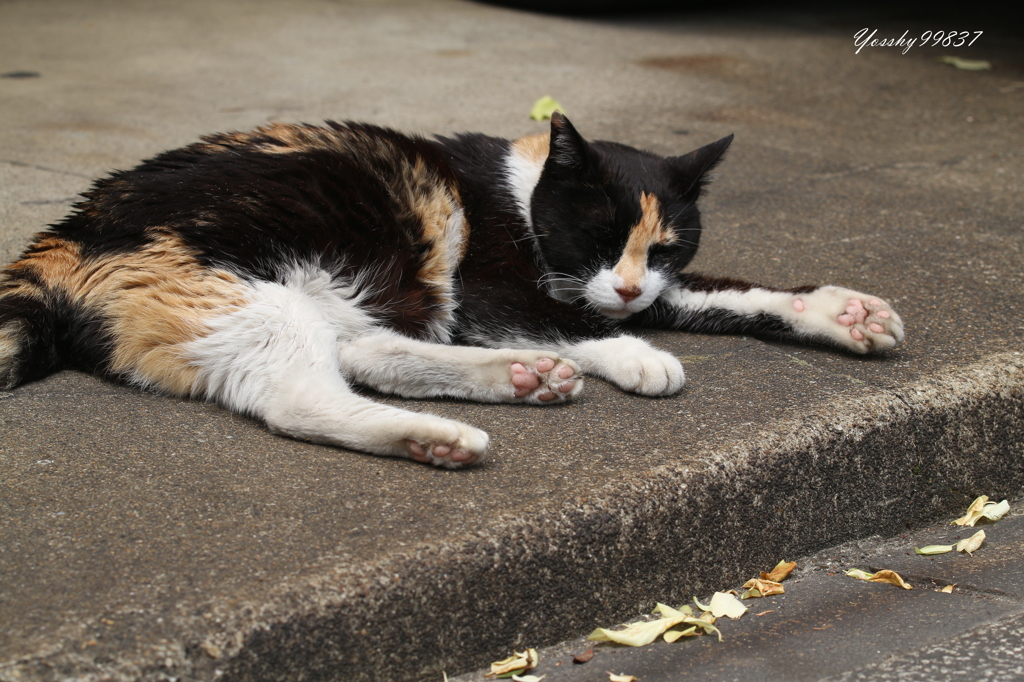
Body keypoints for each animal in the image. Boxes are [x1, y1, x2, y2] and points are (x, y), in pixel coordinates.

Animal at [0, 112, 901, 466]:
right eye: (599, 235)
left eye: (667, 244)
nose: (627, 289)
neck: (521, 192)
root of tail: (57, 240)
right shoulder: (491, 289)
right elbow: (560, 319)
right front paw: (639, 355)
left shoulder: (644, 286)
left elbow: (722, 294)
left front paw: (842, 311)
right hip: (236, 293)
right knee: (303, 398)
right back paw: (440, 437)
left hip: (312, 296)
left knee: (366, 353)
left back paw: (519, 381)